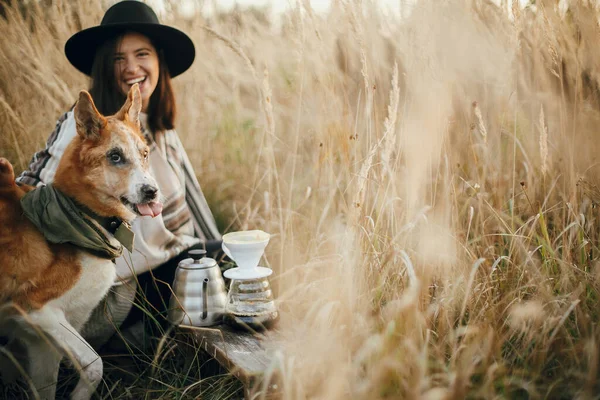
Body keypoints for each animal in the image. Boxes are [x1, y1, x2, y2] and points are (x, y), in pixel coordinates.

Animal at [0, 83, 162, 398]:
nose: (152, 192)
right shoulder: (38, 310)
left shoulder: (42, 343)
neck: (84, 216)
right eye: (115, 156)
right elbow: (95, 364)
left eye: (145, 154)